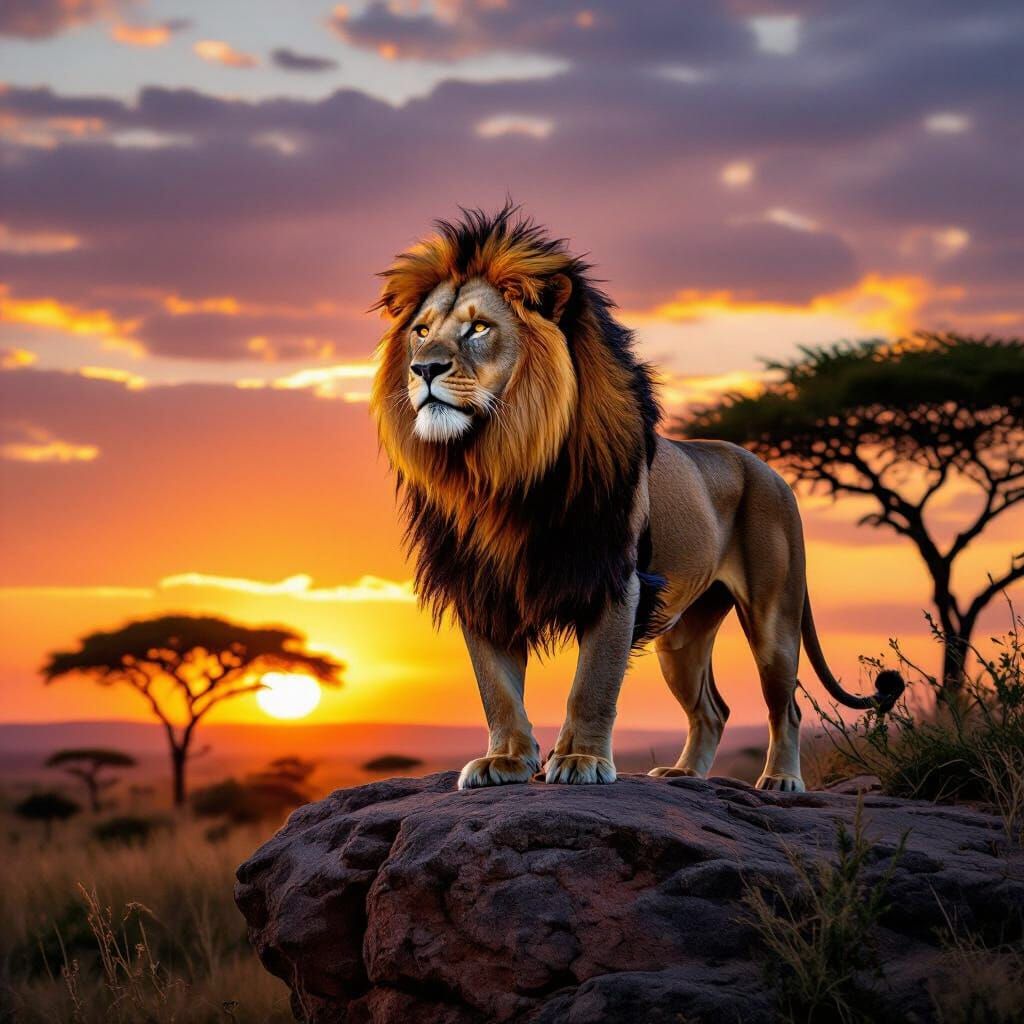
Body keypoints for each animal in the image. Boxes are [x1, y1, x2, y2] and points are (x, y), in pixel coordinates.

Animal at [369, 205, 904, 793]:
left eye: (479, 327)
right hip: (682, 633)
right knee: (712, 709)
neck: (497, 469)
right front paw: (505, 761)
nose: (423, 368)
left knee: (785, 706)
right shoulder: (480, 586)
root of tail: (770, 470)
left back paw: (781, 779)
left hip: (772, 619)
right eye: (421, 332)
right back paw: (683, 773)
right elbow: (497, 690)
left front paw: (580, 760)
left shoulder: (616, 580)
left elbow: (593, 683)